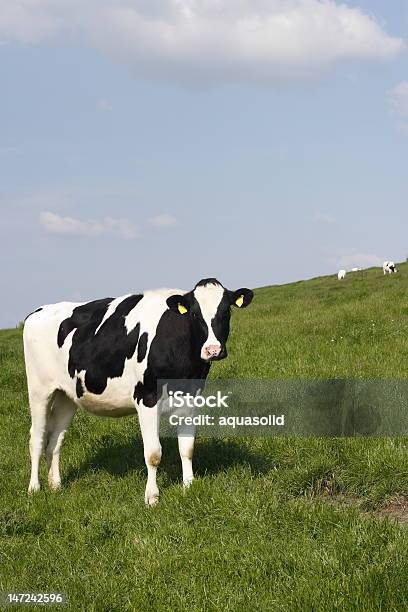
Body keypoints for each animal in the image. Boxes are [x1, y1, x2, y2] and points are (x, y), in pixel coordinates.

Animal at [23, 280, 253, 504]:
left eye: (226, 311)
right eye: (195, 314)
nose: (213, 350)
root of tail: (38, 311)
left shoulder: (191, 398)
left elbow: (187, 448)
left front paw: (189, 486)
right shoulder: (146, 398)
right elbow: (153, 453)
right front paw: (152, 497)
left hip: (67, 396)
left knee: (55, 439)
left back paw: (55, 485)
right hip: (39, 390)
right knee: (37, 438)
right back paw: (34, 488)